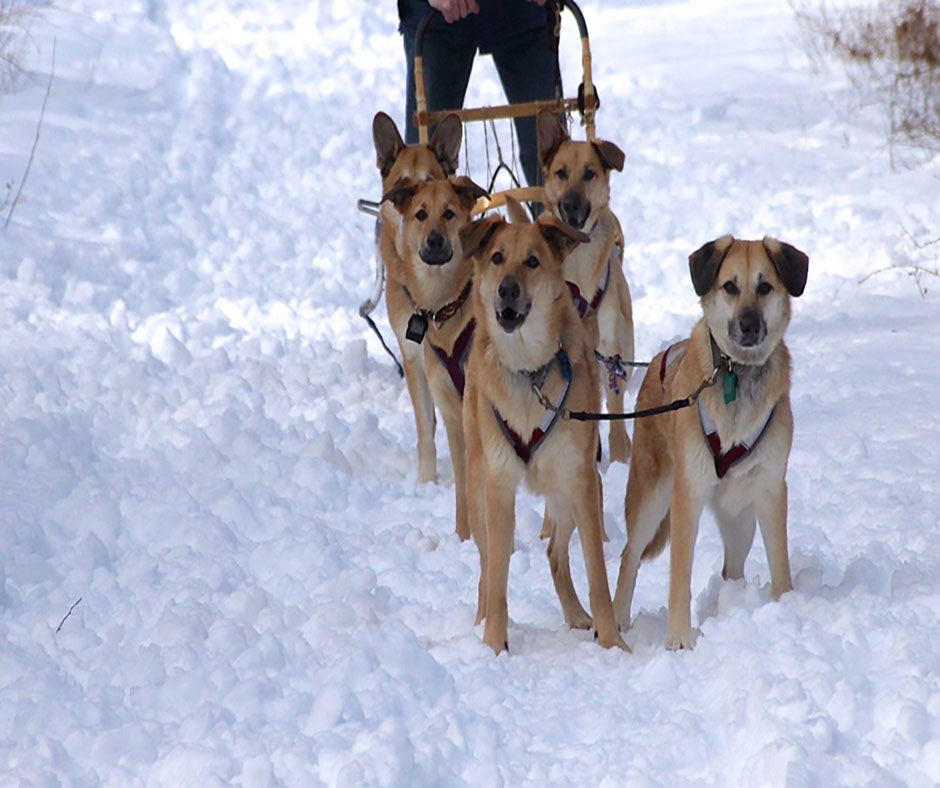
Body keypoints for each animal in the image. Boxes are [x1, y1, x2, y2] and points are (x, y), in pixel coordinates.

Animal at [382, 174, 488, 540]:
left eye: (449, 212)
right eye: (421, 214)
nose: (435, 240)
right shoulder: (453, 413)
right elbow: (464, 487)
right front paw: (463, 536)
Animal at [458, 212, 628, 656]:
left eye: (532, 261)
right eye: (497, 257)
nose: (507, 289)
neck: (528, 371)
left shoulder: (579, 480)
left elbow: (597, 575)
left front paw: (612, 640)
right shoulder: (498, 486)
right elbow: (497, 576)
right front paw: (494, 644)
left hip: (564, 489)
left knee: (554, 552)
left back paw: (577, 615)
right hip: (478, 487)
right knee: (486, 566)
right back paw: (480, 620)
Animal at [608, 235, 808, 652]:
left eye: (765, 287)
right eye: (730, 286)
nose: (748, 325)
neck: (735, 374)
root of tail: (657, 359)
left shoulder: (770, 489)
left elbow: (780, 562)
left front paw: (785, 607)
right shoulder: (688, 495)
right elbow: (679, 578)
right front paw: (679, 639)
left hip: (740, 518)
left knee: (732, 568)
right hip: (651, 499)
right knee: (629, 556)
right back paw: (617, 618)